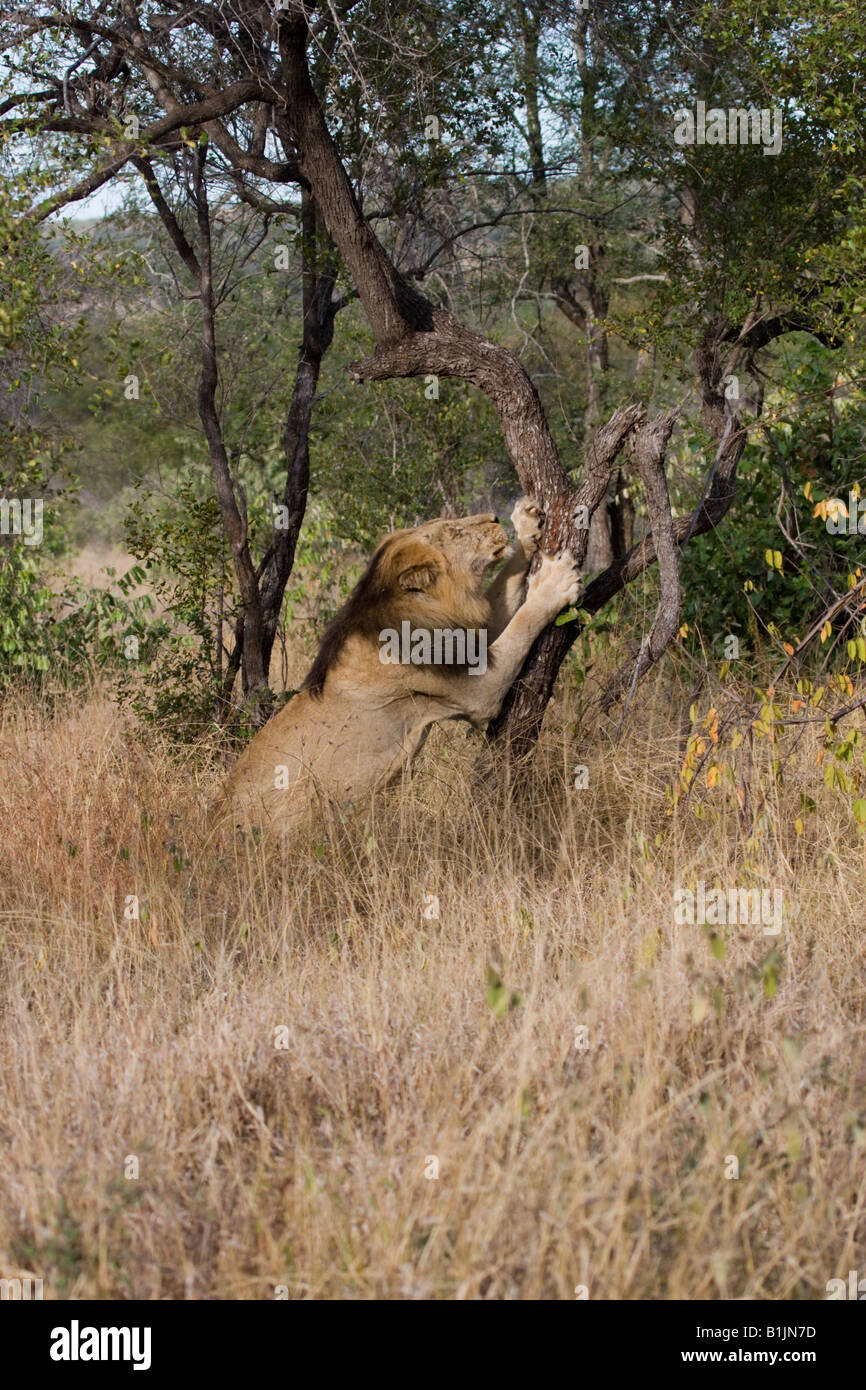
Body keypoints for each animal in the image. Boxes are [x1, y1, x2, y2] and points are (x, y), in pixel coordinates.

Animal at [216, 494, 578, 828]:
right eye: (455, 531)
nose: (494, 518)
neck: (416, 608)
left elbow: (506, 585)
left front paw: (527, 526)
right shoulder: (477, 691)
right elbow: (522, 624)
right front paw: (554, 583)